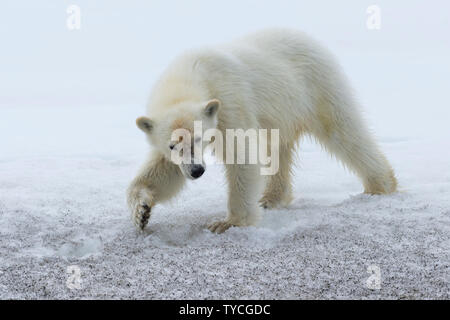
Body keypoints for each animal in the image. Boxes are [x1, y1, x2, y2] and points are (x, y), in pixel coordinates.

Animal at [126, 28, 398, 234]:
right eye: (173, 145)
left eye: (201, 139)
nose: (197, 171)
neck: (192, 74)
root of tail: (309, 38)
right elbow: (164, 169)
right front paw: (141, 211)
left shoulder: (229, 101)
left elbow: (241, 155)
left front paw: (227, 223)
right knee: (277, 148)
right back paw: (271, 198)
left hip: (316, 86)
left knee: (345, 132)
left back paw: (381, 185)